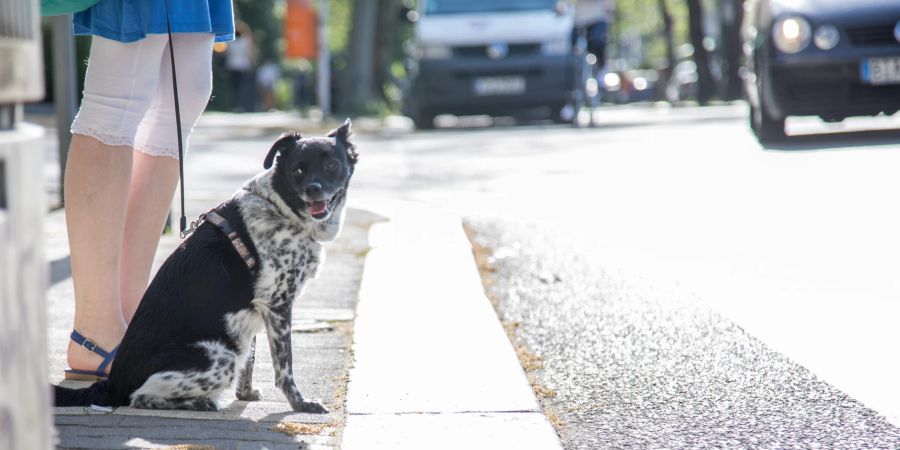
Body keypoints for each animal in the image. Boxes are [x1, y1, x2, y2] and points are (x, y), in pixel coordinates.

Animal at [54, 120, 356, 414]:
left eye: (332, 165)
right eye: (298, 170)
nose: (313, 189)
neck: (281, 207)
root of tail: (112, 383)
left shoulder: (254, 311)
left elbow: (252, 358)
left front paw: (245, 394)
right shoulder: (277, 304)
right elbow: (285, 367)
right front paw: (300, 403)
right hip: (221, 356)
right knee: (139, 397)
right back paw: (200, 402)